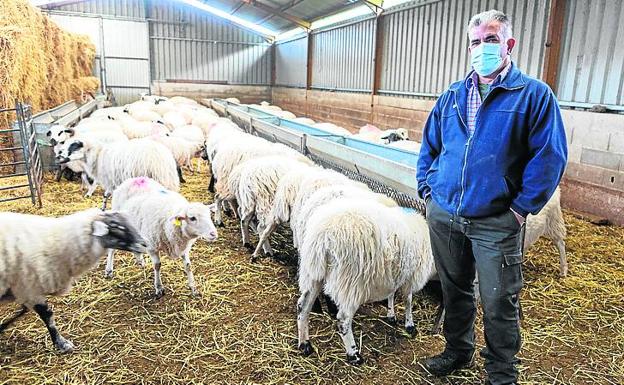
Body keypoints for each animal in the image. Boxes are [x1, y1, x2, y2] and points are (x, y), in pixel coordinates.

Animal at [0, 208, 145, 352]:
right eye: (115, 226)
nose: (144, 244)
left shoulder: (24, 289)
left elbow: (25, 310)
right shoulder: (28, 288)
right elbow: (48, 316)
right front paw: (62, 344)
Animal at [296, 200, 434, 364]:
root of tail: (322, 236)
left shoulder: (394, 273)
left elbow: (392, 294)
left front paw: (391, 315)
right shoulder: (410, 277)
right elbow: (408, 300)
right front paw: (410, 325)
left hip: (313, 273)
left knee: (303, 306)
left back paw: (305, 344)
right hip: (350, 282)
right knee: (343, 319)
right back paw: (354, 355)